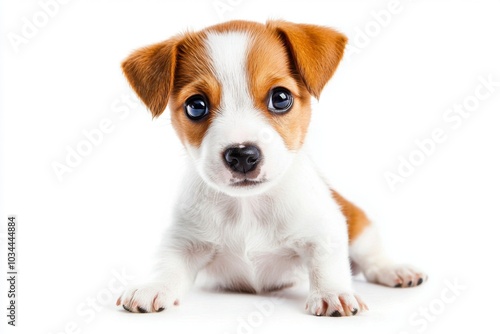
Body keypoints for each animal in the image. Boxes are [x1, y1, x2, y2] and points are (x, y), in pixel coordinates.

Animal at [116, 19, 426, 318]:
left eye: (280, 98)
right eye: (196, 106)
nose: (242, 155)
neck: (248, 206)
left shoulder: (325, 229)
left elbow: (326, 264)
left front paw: (332, 293)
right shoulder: (183, 241)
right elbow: (167, 264)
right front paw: (153, 286)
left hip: (359, 224)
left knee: (373, 259)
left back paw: (396, 270)